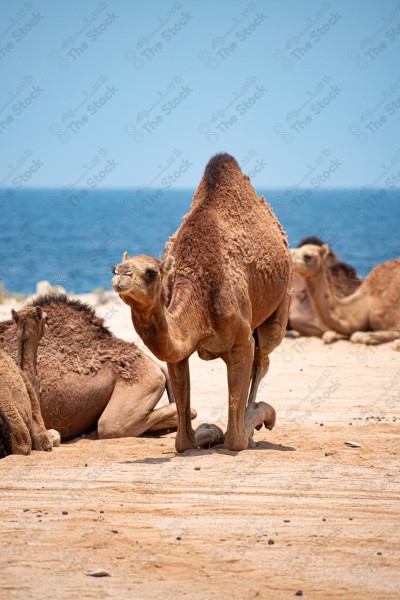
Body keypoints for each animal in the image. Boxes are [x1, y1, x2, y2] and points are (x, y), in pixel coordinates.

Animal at [111, 152, 290, 452]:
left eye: (151, 272)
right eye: (113, 268)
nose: (121, 275)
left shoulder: (241, 340)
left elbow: (235, 440)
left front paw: (248, 427)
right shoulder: (178, 350)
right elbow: (183, 439)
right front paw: (207, 432)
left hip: (282, 300)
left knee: (263, 355)